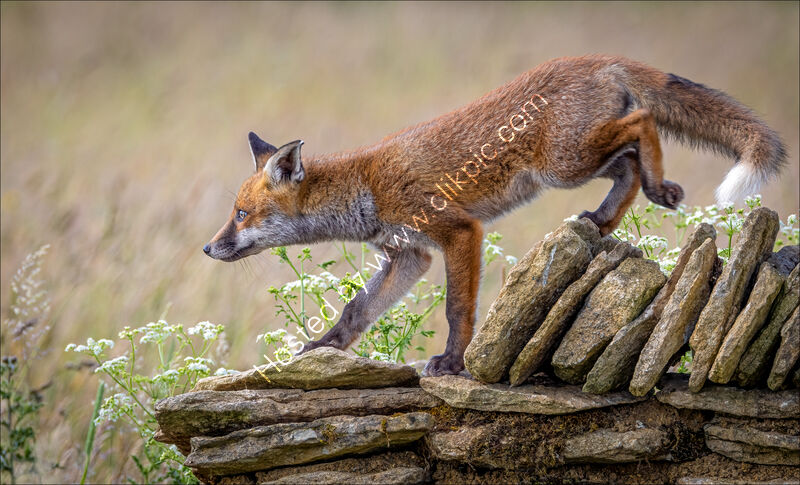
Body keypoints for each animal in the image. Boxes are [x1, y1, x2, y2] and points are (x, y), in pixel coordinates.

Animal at [203, 55, 785, 377]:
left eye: (241, 213)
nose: (209, 247)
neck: (365, 186)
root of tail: (597, 58)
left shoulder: (458, 231)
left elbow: (458, 310)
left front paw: (453, 364)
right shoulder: (408, 256)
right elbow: (356, 312)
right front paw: (323, 350)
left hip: (564, 162)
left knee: (643, 123)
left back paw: (659, 186)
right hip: (574, 166)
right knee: (627, 164)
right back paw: (603, 219)